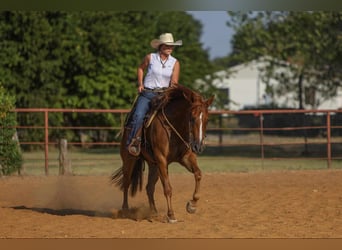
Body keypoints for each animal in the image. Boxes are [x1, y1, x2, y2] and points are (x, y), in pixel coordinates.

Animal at [111, 84, 214, 223]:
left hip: (154, 165)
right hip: (129, 159)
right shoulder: (161, 160)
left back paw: (153, 213)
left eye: (207, 120)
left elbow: (198, 174)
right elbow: (168, 188)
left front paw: (192, 205)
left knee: (149, 187)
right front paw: (171, 215)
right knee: (126, 183)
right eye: (192, 118)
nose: (198, 146)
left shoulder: (186, 157)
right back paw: (126, 210)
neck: (173, 127)